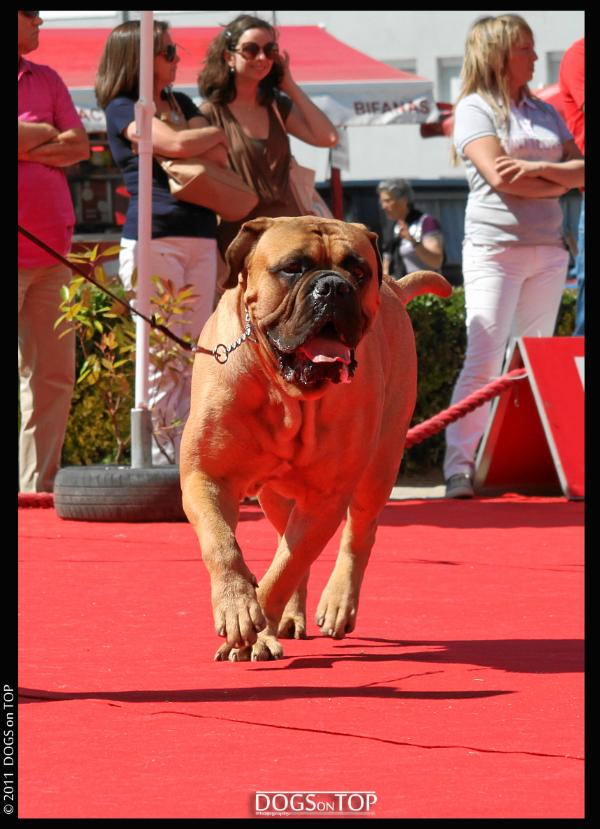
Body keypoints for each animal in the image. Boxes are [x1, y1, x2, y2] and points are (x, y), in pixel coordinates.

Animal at [179, 213, 450, 660]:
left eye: (359, 271)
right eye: (293, 268)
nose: (335, 286)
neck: (286, 394)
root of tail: (394, 288)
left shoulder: (326, 498)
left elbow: (285, 569)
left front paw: (256, 630)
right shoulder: (204, 476)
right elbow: (222, 544)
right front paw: (237, 605)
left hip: (379, 467)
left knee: (356, 536)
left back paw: (336, 605)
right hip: (275, 495)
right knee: (283, 536)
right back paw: (289, 618)